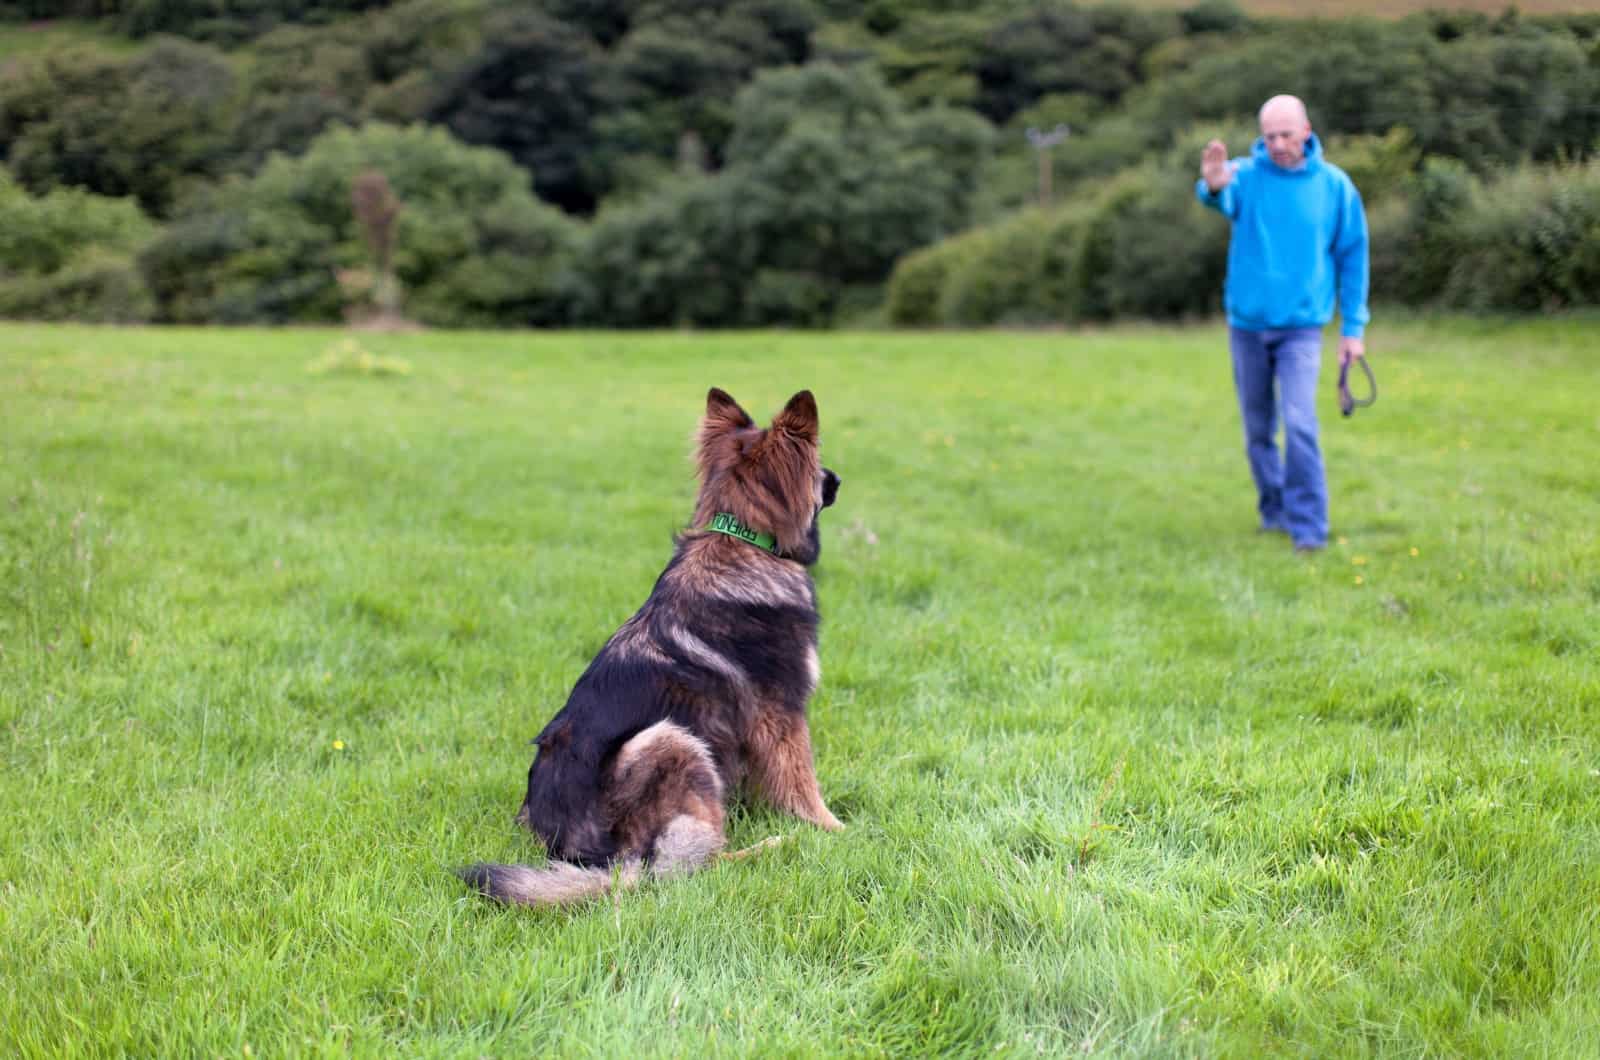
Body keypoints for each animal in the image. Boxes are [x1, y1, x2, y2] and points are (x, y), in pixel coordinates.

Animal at [460, 392, 844, 915]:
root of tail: (593, 860)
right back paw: (775, 846)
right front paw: (833, 830)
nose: (838, 480)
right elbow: (804, 784)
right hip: (670, 740)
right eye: (818, 466)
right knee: (689, 865)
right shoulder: (782, 716)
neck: (740, 538)